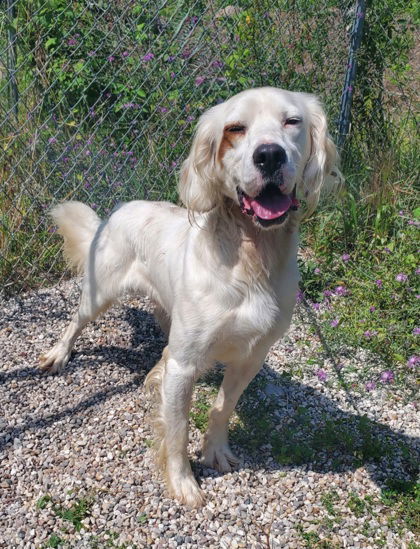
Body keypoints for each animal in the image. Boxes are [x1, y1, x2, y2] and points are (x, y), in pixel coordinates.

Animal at [40, 88, 342, 508]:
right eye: (235, 128)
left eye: (292, 122)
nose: (269, 155)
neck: (252, 259)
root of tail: (119, 208)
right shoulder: (185, 366)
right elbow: (178, 429)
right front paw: (183, 481)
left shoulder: (251, 358)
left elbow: (222, 409)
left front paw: (215, 451)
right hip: (100, 292)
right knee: (75, 322)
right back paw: (59, 354)